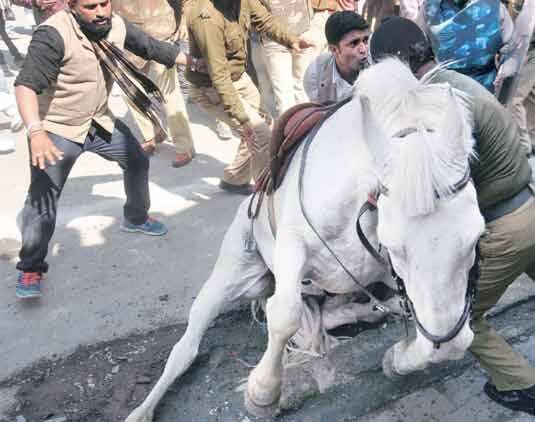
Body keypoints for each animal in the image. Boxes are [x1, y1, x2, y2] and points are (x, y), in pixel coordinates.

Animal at [125, 60, 486, 422]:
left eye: (476, 237)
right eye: (395, 247)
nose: (446, 341)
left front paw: (398, 359)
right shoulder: (292, 243)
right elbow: (285, 315)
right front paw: (262, 393)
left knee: (341, 312)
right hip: (232, 274)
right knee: (186, 347)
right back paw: (142, 410)